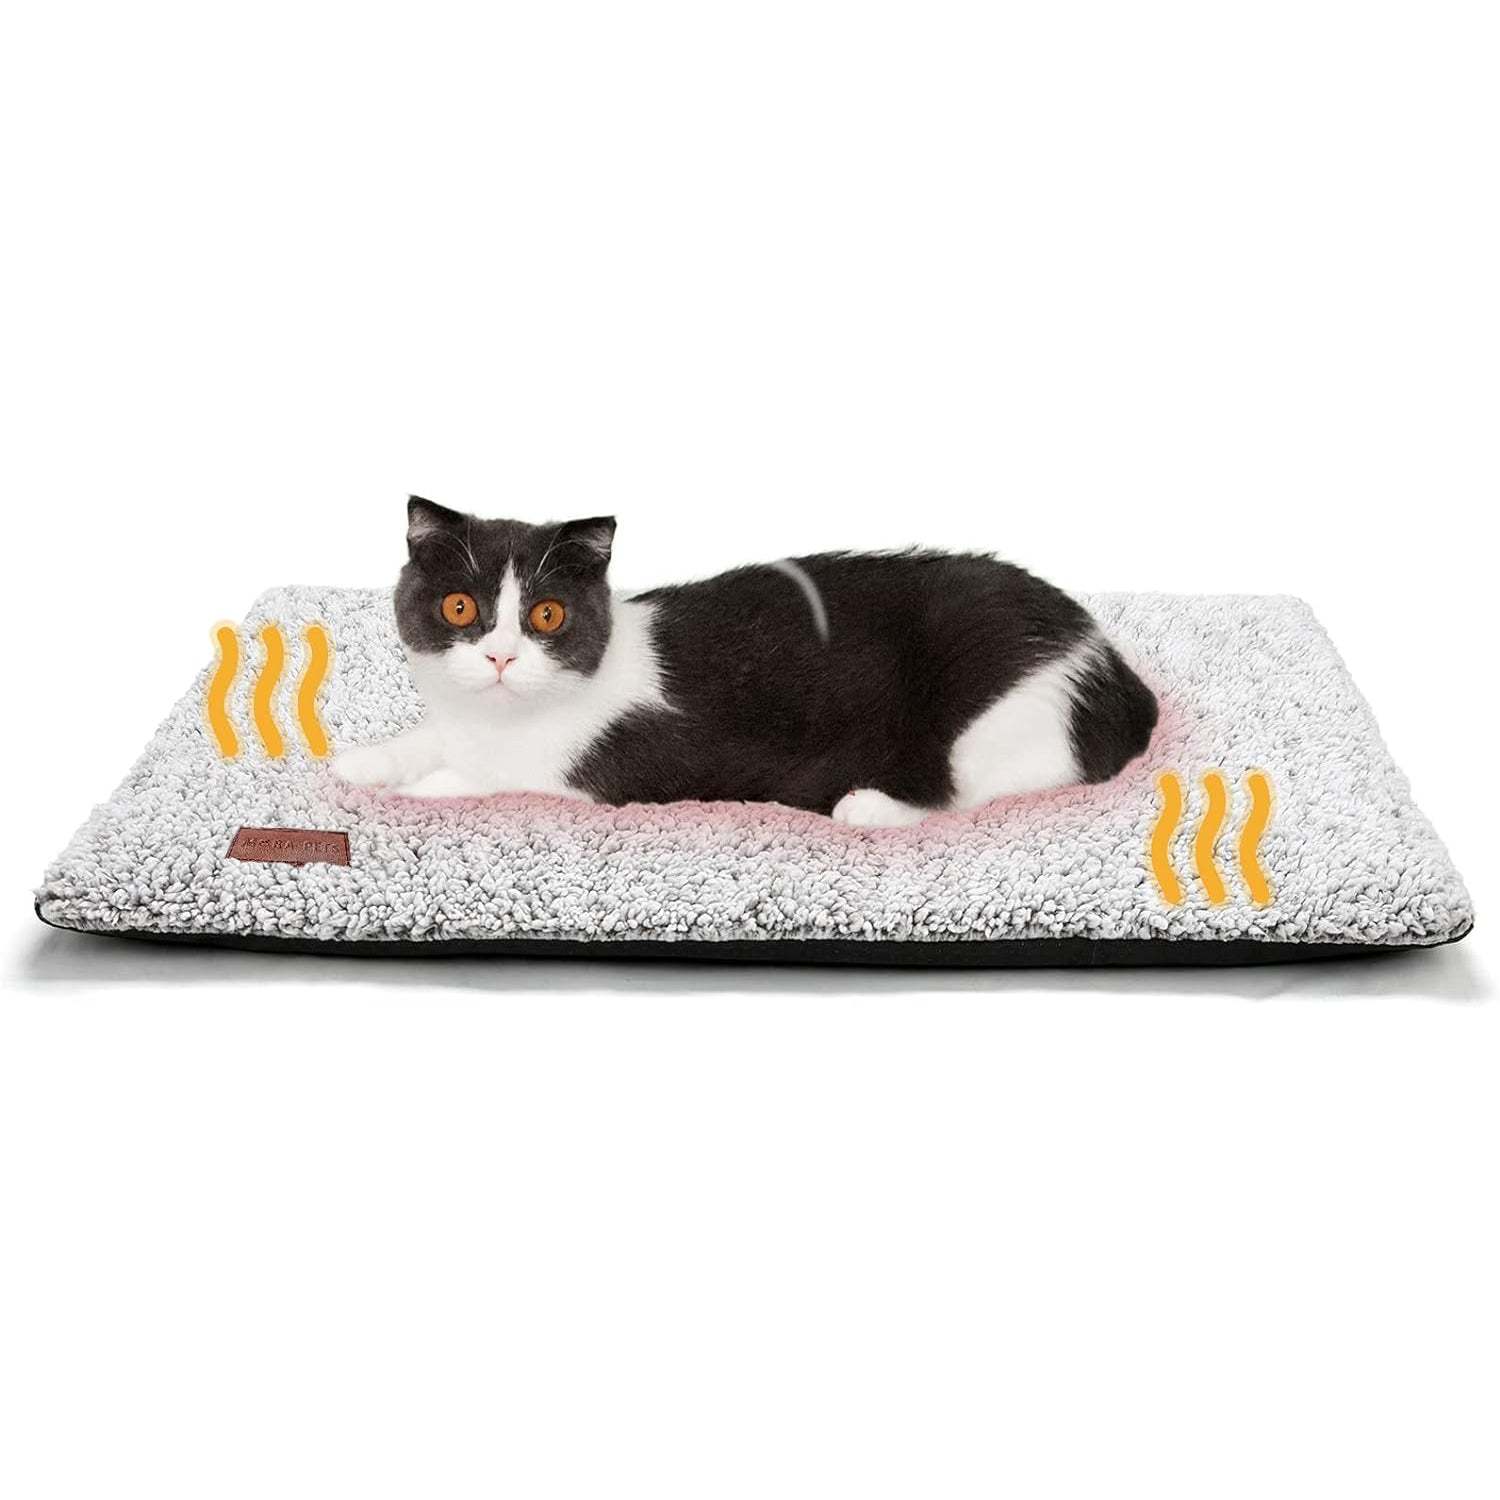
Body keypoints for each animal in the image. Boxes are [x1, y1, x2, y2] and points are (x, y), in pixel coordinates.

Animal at [331, 497, 1159, 826]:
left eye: (547, 616)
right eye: (459, 609)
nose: (501, 656)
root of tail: (1105, 659)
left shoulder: (623, 767)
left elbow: (487, 780)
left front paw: (411, 791)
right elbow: (428, 740)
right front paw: (362, 762)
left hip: (1000, 711)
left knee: (974, 788)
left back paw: (868, 807)